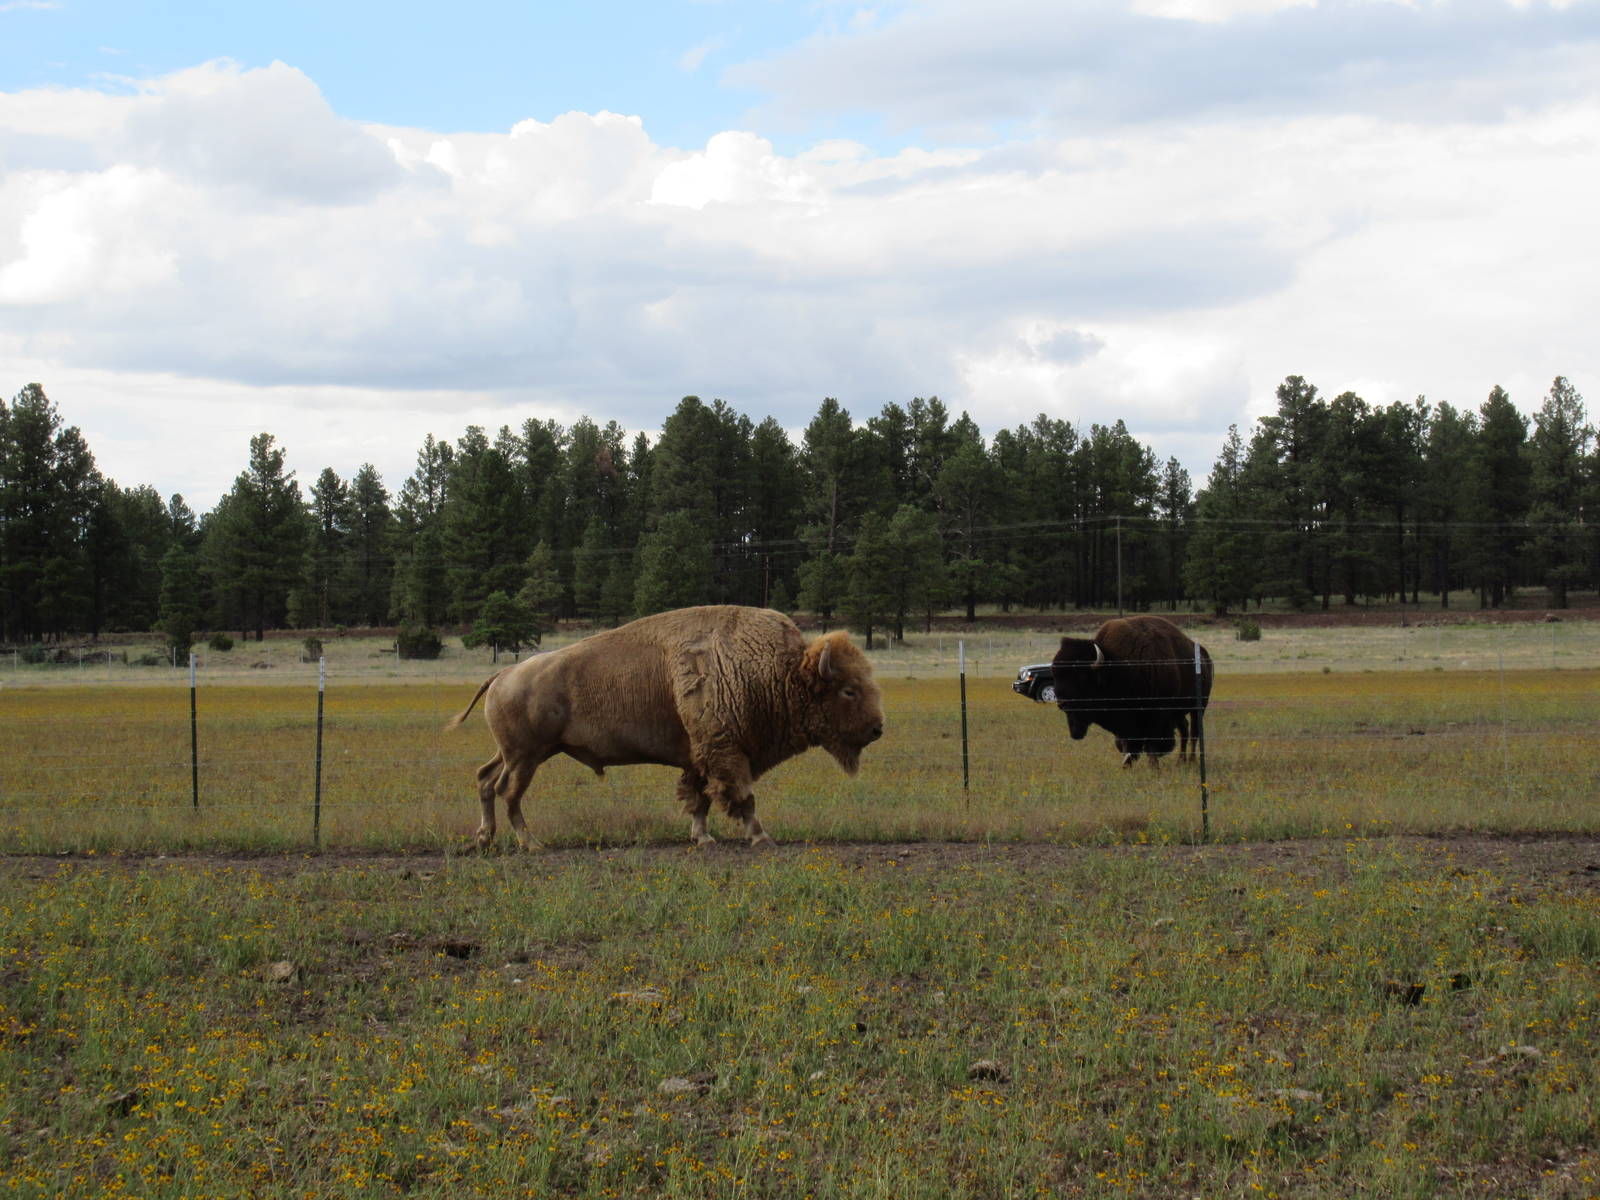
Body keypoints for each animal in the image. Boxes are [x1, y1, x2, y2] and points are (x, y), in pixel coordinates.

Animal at [448, 605, 885, 848]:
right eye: (848, 690)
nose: (877, 729)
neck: (779, 670)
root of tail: (504, 673)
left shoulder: (701, 757)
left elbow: (700, 799)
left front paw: (703, 838)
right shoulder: (727, 753)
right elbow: (743, 797)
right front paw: (762, 838)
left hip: (514, 753)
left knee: (485, 779)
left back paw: (484, 839)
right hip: (527, 756)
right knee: (508, 791)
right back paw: (532, 844)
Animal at [1051, 615, 1213, 766]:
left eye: (1082, 677)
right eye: (1056, 676)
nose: (1062, 703)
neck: (1117, 668)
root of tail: (1204, 655)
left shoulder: (1156, 717)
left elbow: (1151, 745)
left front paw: (1153, 767)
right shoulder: (1126, 724)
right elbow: (1127, 745)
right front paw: (1127, 765)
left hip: (1199, 706)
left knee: (1194, 732)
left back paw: (1191, 761)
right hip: (1180, 711)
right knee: (1184, 730)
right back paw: (1181, 762)